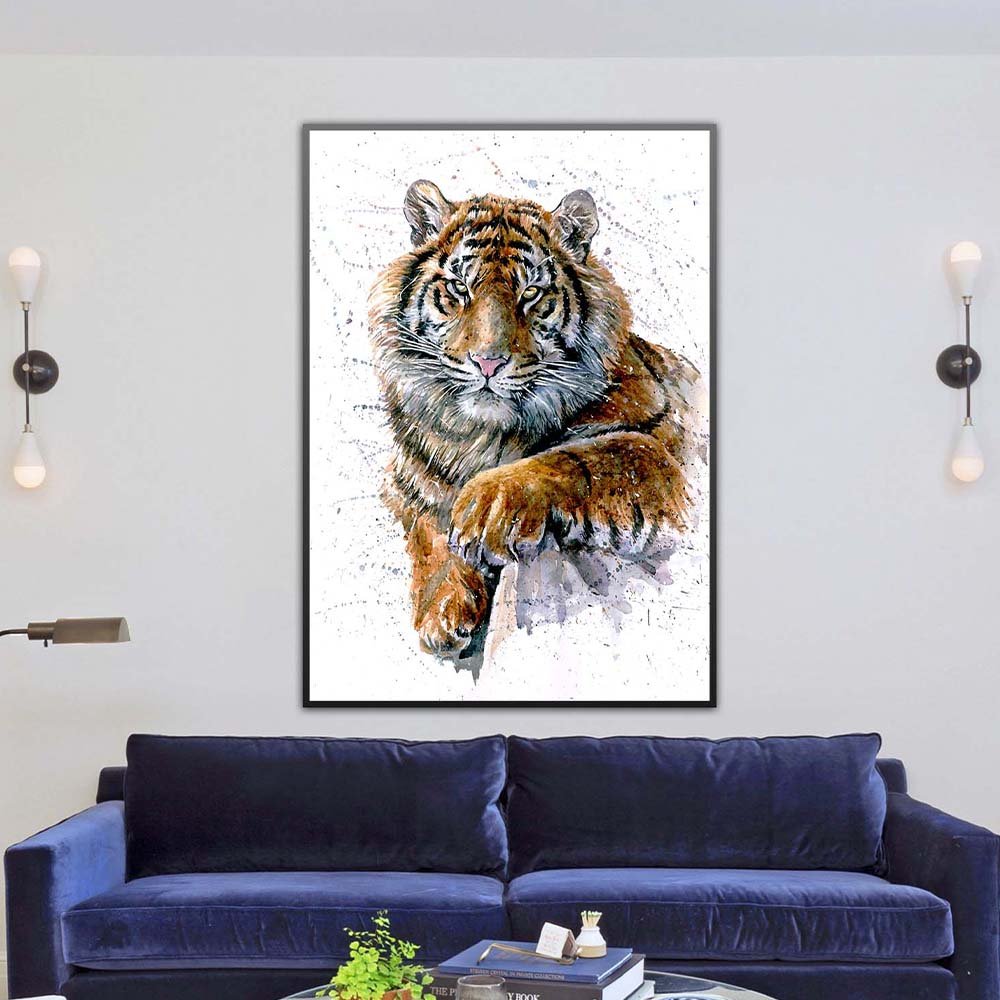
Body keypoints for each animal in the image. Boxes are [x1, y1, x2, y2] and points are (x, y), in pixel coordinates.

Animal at [368, 180, 699, 657]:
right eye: (459, 288)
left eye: (530, 294)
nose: (488, 362)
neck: (481, 436)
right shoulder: (407, 482)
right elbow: (426, 530)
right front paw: (442, 611)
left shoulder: (660, 446)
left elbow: (578, 457)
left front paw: (485, 507)